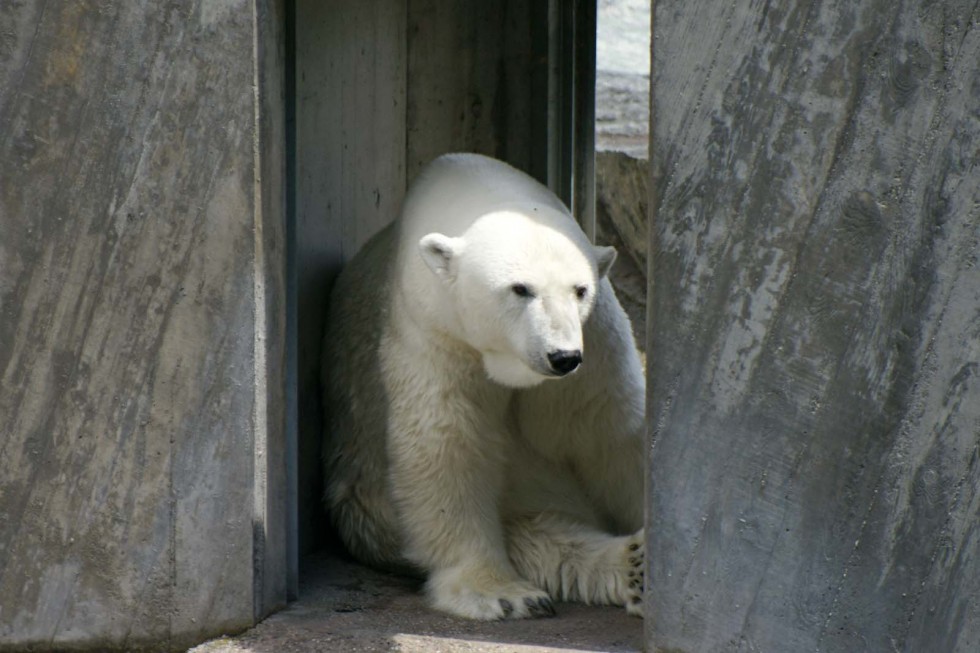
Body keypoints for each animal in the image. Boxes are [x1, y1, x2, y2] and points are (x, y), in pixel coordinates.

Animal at [324, 154, 652, 620]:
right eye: (520, 289)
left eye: (580, 289)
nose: (562, 356)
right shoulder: (434, 334)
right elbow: (446, 447)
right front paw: (499, 593)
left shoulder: (592, 344)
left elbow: (608, 432)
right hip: (365, 505)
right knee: (536, 539)